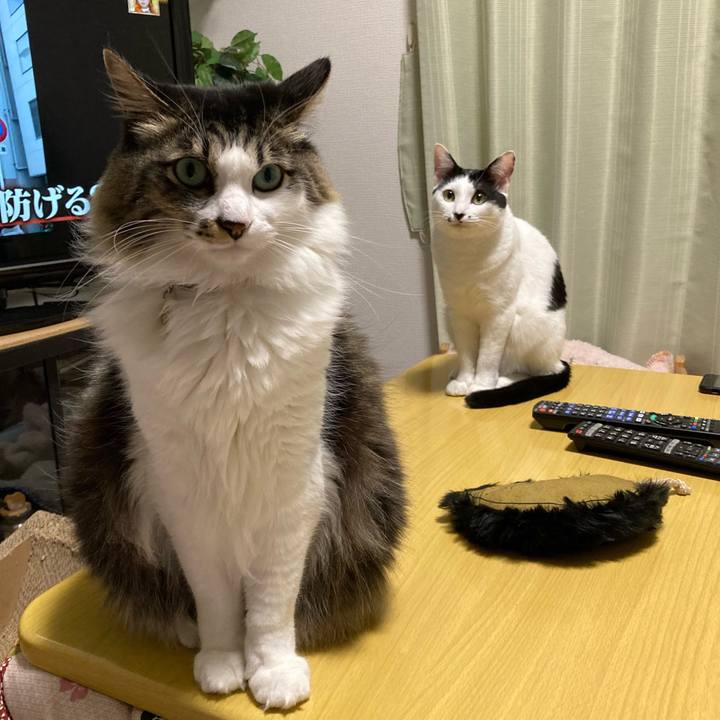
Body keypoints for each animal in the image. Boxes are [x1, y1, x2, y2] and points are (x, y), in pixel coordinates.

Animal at [65, 50, 406, 711]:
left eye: (267, 179)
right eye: (191, 171)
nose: (233, 225)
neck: (225, 315)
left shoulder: (294, 486)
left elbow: (271, 603)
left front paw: (272, 672)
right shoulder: (181, 493)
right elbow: (217, 598)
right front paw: (223, 664)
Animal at [431, 144, 570, 407]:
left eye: (479, 197)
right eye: (449, 195)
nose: (459, 214)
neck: (466, 255)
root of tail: (558, 357)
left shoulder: (499, 315)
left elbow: (487, 356)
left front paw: (481, 385)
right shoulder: (459, 313)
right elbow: (467, 355)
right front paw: (464, 380)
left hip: (525, 324)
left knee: (534, 370)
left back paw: (500, 381)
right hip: (447, 315)